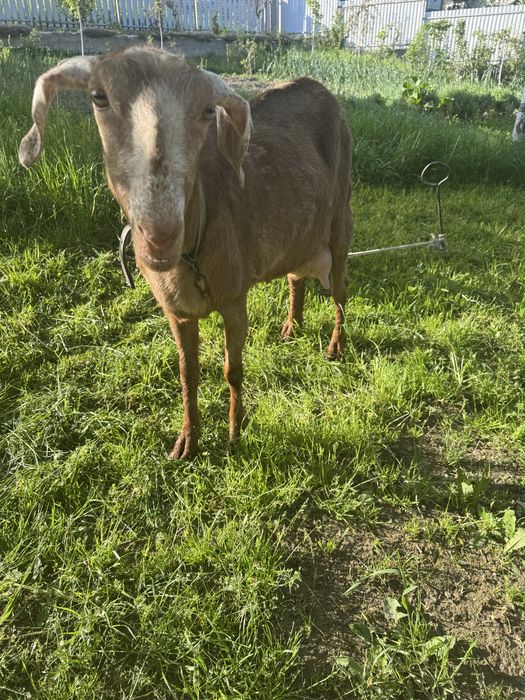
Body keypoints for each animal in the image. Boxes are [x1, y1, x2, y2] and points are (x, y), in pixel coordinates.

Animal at [19, 47, 353, 459]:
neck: (193, 251)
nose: (160, 233)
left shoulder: (233, 297)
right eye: (99, 97)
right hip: (298, 230)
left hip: (341, 216)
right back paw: (292, 326)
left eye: (208, 110)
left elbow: (232, 369)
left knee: (340, 289)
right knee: (295, 276)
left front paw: (235, 431)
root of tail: (318, 87)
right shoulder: (176, 311)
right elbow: (186, 373)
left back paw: (335, 346)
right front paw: (186, 443)